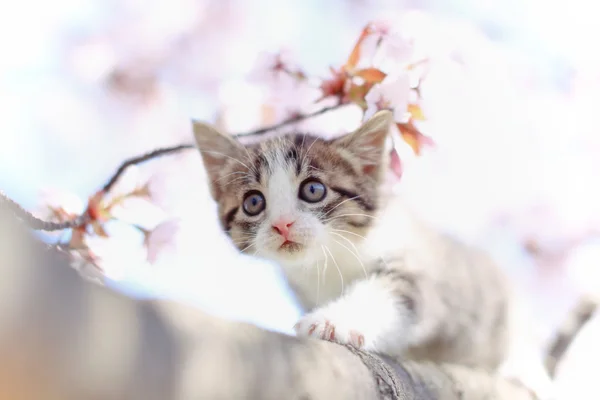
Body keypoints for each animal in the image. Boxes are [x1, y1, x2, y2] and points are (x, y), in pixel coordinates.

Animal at [193, 110, 510, 372]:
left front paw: (332, 321)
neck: (329, 260)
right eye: (254, 202)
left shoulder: (413, 261)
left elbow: (393, 293)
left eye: (313, 190)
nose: (282, 224)